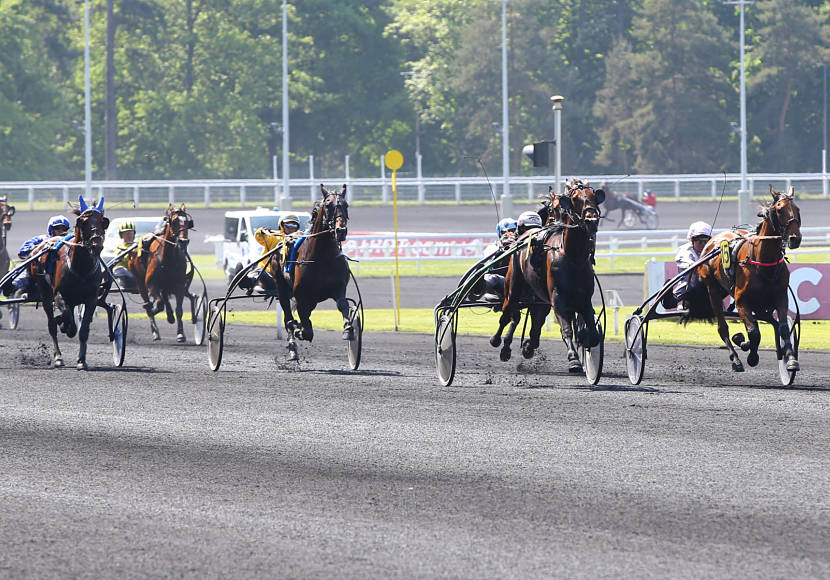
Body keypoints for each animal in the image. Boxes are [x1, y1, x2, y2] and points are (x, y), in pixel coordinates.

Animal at [29, 195, 110, 368]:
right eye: (83, 222)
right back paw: (58, 356)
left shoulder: (91, 298)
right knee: (51, 324)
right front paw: (64, 326)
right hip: (45, 291)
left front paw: (82, 360)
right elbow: (68, 320)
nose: (96, 244)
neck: (81, 268)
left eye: (103, 221)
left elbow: (84, 329)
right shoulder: (59, 294)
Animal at [127, 203, 196, 342]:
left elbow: (179, 309)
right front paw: (152, 309)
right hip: (140, 282)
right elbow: (157, 305)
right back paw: (155, 330)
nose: (183, 241)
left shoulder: (180, 285)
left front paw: (181, 333)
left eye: (188, 222)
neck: (169, 257)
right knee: (151, 300)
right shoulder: (151, 283)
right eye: (174, 221)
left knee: (165, 296)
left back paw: (170, 316)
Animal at [272, 184, 352, 360]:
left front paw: (348, 329)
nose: (341, 230)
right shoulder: (301, 296)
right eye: (328, 205)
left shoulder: (339, 287)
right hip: (282, 288)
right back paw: (293, 347)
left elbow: (343, 304)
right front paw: (299, 330)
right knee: (288, 317)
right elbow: (306, 329)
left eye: (346, 205)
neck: (323, 258)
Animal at [490, 179, 608, 372]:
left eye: (593, 197)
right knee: (507, 313)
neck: (572, 256)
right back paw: (498, 341)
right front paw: (573, 358)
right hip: (513, 287)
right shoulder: (557, 296)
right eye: (575, 199)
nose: (591, 221)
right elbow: (566, 328)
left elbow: (592, 332)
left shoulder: (583, 298)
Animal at [696, 188, 808, 374]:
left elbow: (783, 328)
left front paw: (791, 360)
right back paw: (736, 359)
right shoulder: (742, 302)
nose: (795, 238)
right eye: (779, 209)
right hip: (712, 289)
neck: (762, 261)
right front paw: (751, 355)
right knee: (722, 327)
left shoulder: (780, 297)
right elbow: (754, 332)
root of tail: (712, 241)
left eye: (798, 209)